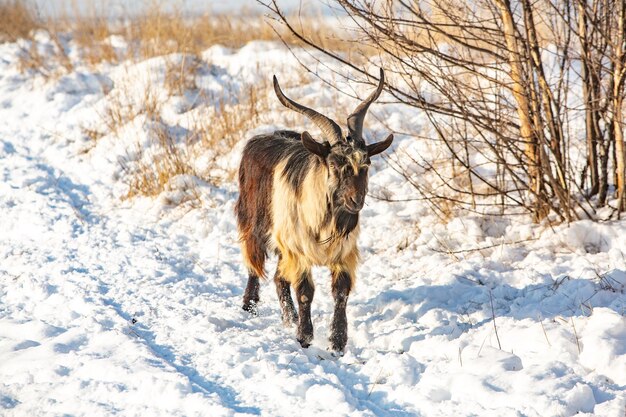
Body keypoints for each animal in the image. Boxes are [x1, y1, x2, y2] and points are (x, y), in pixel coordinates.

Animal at [236, 70, 392, 352]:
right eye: (333, 164)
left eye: (366, 164)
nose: (356, 200)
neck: (325, 220)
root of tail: (260, 138)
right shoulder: (298, 250)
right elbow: (305, 292)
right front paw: (305, 337)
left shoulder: (343, 252)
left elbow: (340, 292)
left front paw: (337, 342)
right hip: (253, 222)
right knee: (254, 262)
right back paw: (250, 305)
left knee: (278, 278)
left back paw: (289, 319)